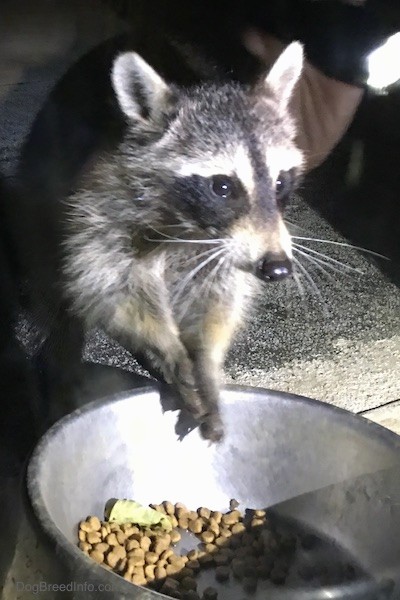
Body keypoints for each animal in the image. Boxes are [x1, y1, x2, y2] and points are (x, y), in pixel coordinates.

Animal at [14, 38, 304, 440]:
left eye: (280, 183)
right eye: (223, 186)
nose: (277, 268)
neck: (189, 226)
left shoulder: (223, 251)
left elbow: (218, 298)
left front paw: (207, 362)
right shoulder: (102, 206)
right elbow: (115, 287)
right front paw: (170, 351)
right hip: (46, 173)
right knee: (51, 276)